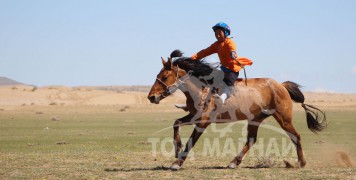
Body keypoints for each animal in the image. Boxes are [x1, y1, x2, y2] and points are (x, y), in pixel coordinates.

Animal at [147, 51, 326, 170]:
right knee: (251, 140)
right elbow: (176, 123)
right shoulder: (193, 116)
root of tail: (281, 85)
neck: (201, 89)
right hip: (255, 119)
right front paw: (177, 150)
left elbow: (191, 140)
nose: (151, 97)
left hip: (283, 118)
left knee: (295, 136)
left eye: (164, 77)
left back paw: (300, 163)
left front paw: (177, 162)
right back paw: (234, 162)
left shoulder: (203, 121)